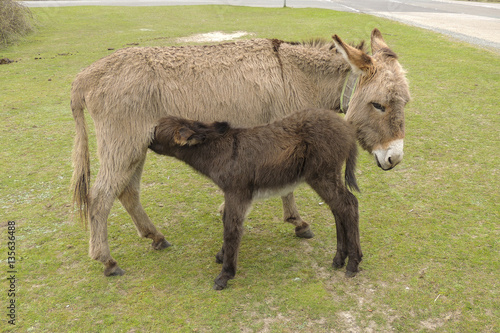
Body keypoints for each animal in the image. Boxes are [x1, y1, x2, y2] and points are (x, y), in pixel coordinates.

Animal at [148, 108, 360, 288]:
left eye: (156, 130)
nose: (146, 142)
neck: (219, 152)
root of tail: (346, 129)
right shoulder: (234, 195)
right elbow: (227, 221)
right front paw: (222, 255)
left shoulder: (237, 193)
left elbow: (231, 228)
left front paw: (225, 275)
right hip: (326, 176)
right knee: (339, 209)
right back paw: (340, 259)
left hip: (322, 174)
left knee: (348, 205)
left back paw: (353, 264)